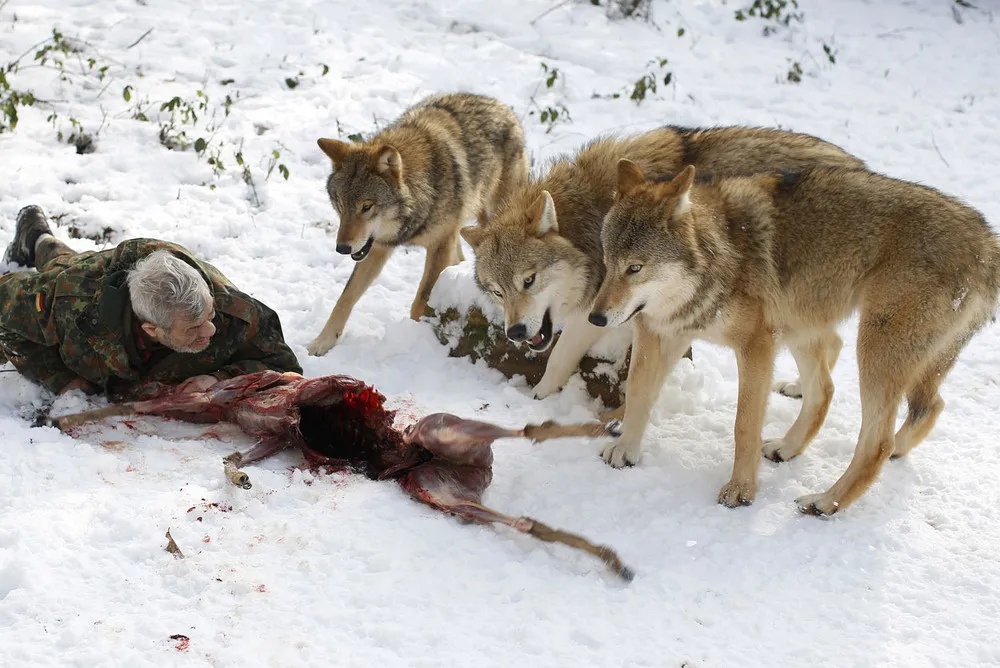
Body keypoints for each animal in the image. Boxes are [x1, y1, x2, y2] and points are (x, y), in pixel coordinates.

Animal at [306, 92, 529, 356]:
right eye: (340, 204)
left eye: (367, 206)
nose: (342, 248)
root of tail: (500, 105)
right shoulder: (378, 248)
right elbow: (346, 296)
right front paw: (323, 341)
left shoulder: (439, 245)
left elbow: (421, 300)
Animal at [459, 125, 866, 402]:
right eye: (497, 291)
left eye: (528, 280)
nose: (514, 332)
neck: (591, 216)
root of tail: (857, 164)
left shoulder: (603, 312)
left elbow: (558, 359)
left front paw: (535, 401)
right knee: (832, 343)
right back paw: (799, 389)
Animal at [589, 160, 1000, 515]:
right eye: (608, 262)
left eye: (635, 268)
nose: (596, 317)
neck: (717, 259)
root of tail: (985, 239)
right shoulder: (659, 333)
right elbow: (638, 393)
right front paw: (625, 450)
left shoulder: (755, 346)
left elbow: (744, 426)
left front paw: (741, 491)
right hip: (802, 324)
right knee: (853, 395)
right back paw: (790, 448)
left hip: (872, 348)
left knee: (877, 440)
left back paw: (825, 502)